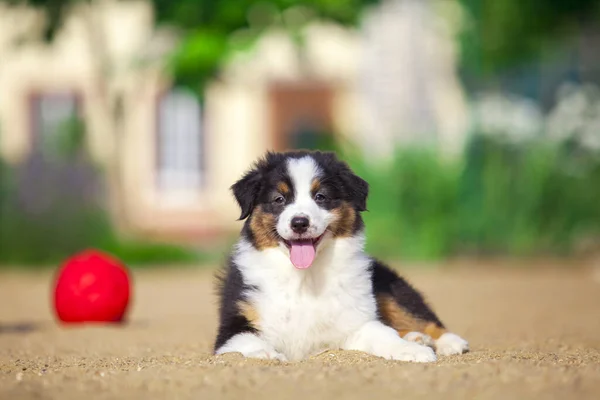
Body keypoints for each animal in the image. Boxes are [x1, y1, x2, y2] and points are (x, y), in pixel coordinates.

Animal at [211, 151, 468, 362]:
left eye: (321, 197)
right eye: (279, 199)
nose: (300, 223)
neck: (305, 277)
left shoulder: (355, 320)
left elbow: (383, 333)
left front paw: (412, 351)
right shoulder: (232, 328)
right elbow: (246, 341)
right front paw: (267, 354)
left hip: (389, 288)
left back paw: (448, 342)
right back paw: (418, 338)